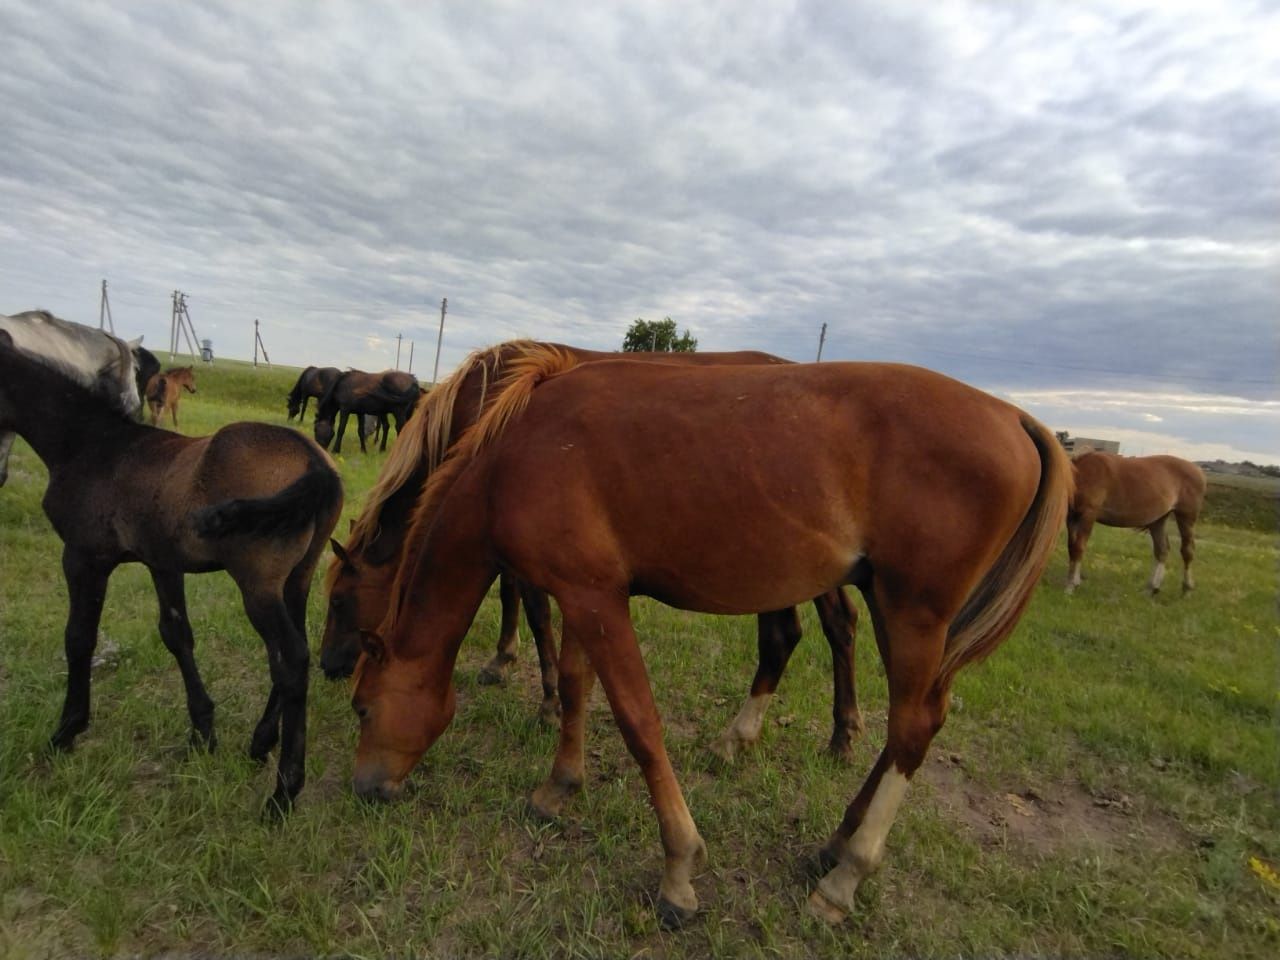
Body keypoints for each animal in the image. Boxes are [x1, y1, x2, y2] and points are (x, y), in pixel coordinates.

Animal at [0, 330, 343, 814]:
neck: (92, 445)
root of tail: (314, 461)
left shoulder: (84, 558)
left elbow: (79, 639)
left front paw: (66, 732)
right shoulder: (163, 562)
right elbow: (176, 634)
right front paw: (203, 732)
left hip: (258, 586)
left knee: (290, 660)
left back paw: (283, 793)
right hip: (297, 578)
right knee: (298, 650)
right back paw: (260, 743)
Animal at [348, 350, 1070, 926]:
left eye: (361, 707)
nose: (365, 788)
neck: (518, 452)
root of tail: (1015, 418)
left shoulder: (594, 599)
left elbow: (639, 723)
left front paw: (678, 871)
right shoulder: (582, 593)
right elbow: (579, 689)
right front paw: (560, 787)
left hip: (913, 612)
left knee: (912, 729)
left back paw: (844, 879)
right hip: (899, 613)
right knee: (909, 726)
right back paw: (836, 841)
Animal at [1064, 450, 1203, 593]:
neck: (1082, 474)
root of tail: (1197, 469)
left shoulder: (1088, 515)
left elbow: (1078, 547)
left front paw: (1070, 586)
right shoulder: (1072, 518)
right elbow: (1071, 547)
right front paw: (1073, 581)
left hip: (1186, 517)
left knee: (1187, 551)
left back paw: (1187, 588)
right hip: (1158, 520)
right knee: (1162, 550)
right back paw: (1152, 588)